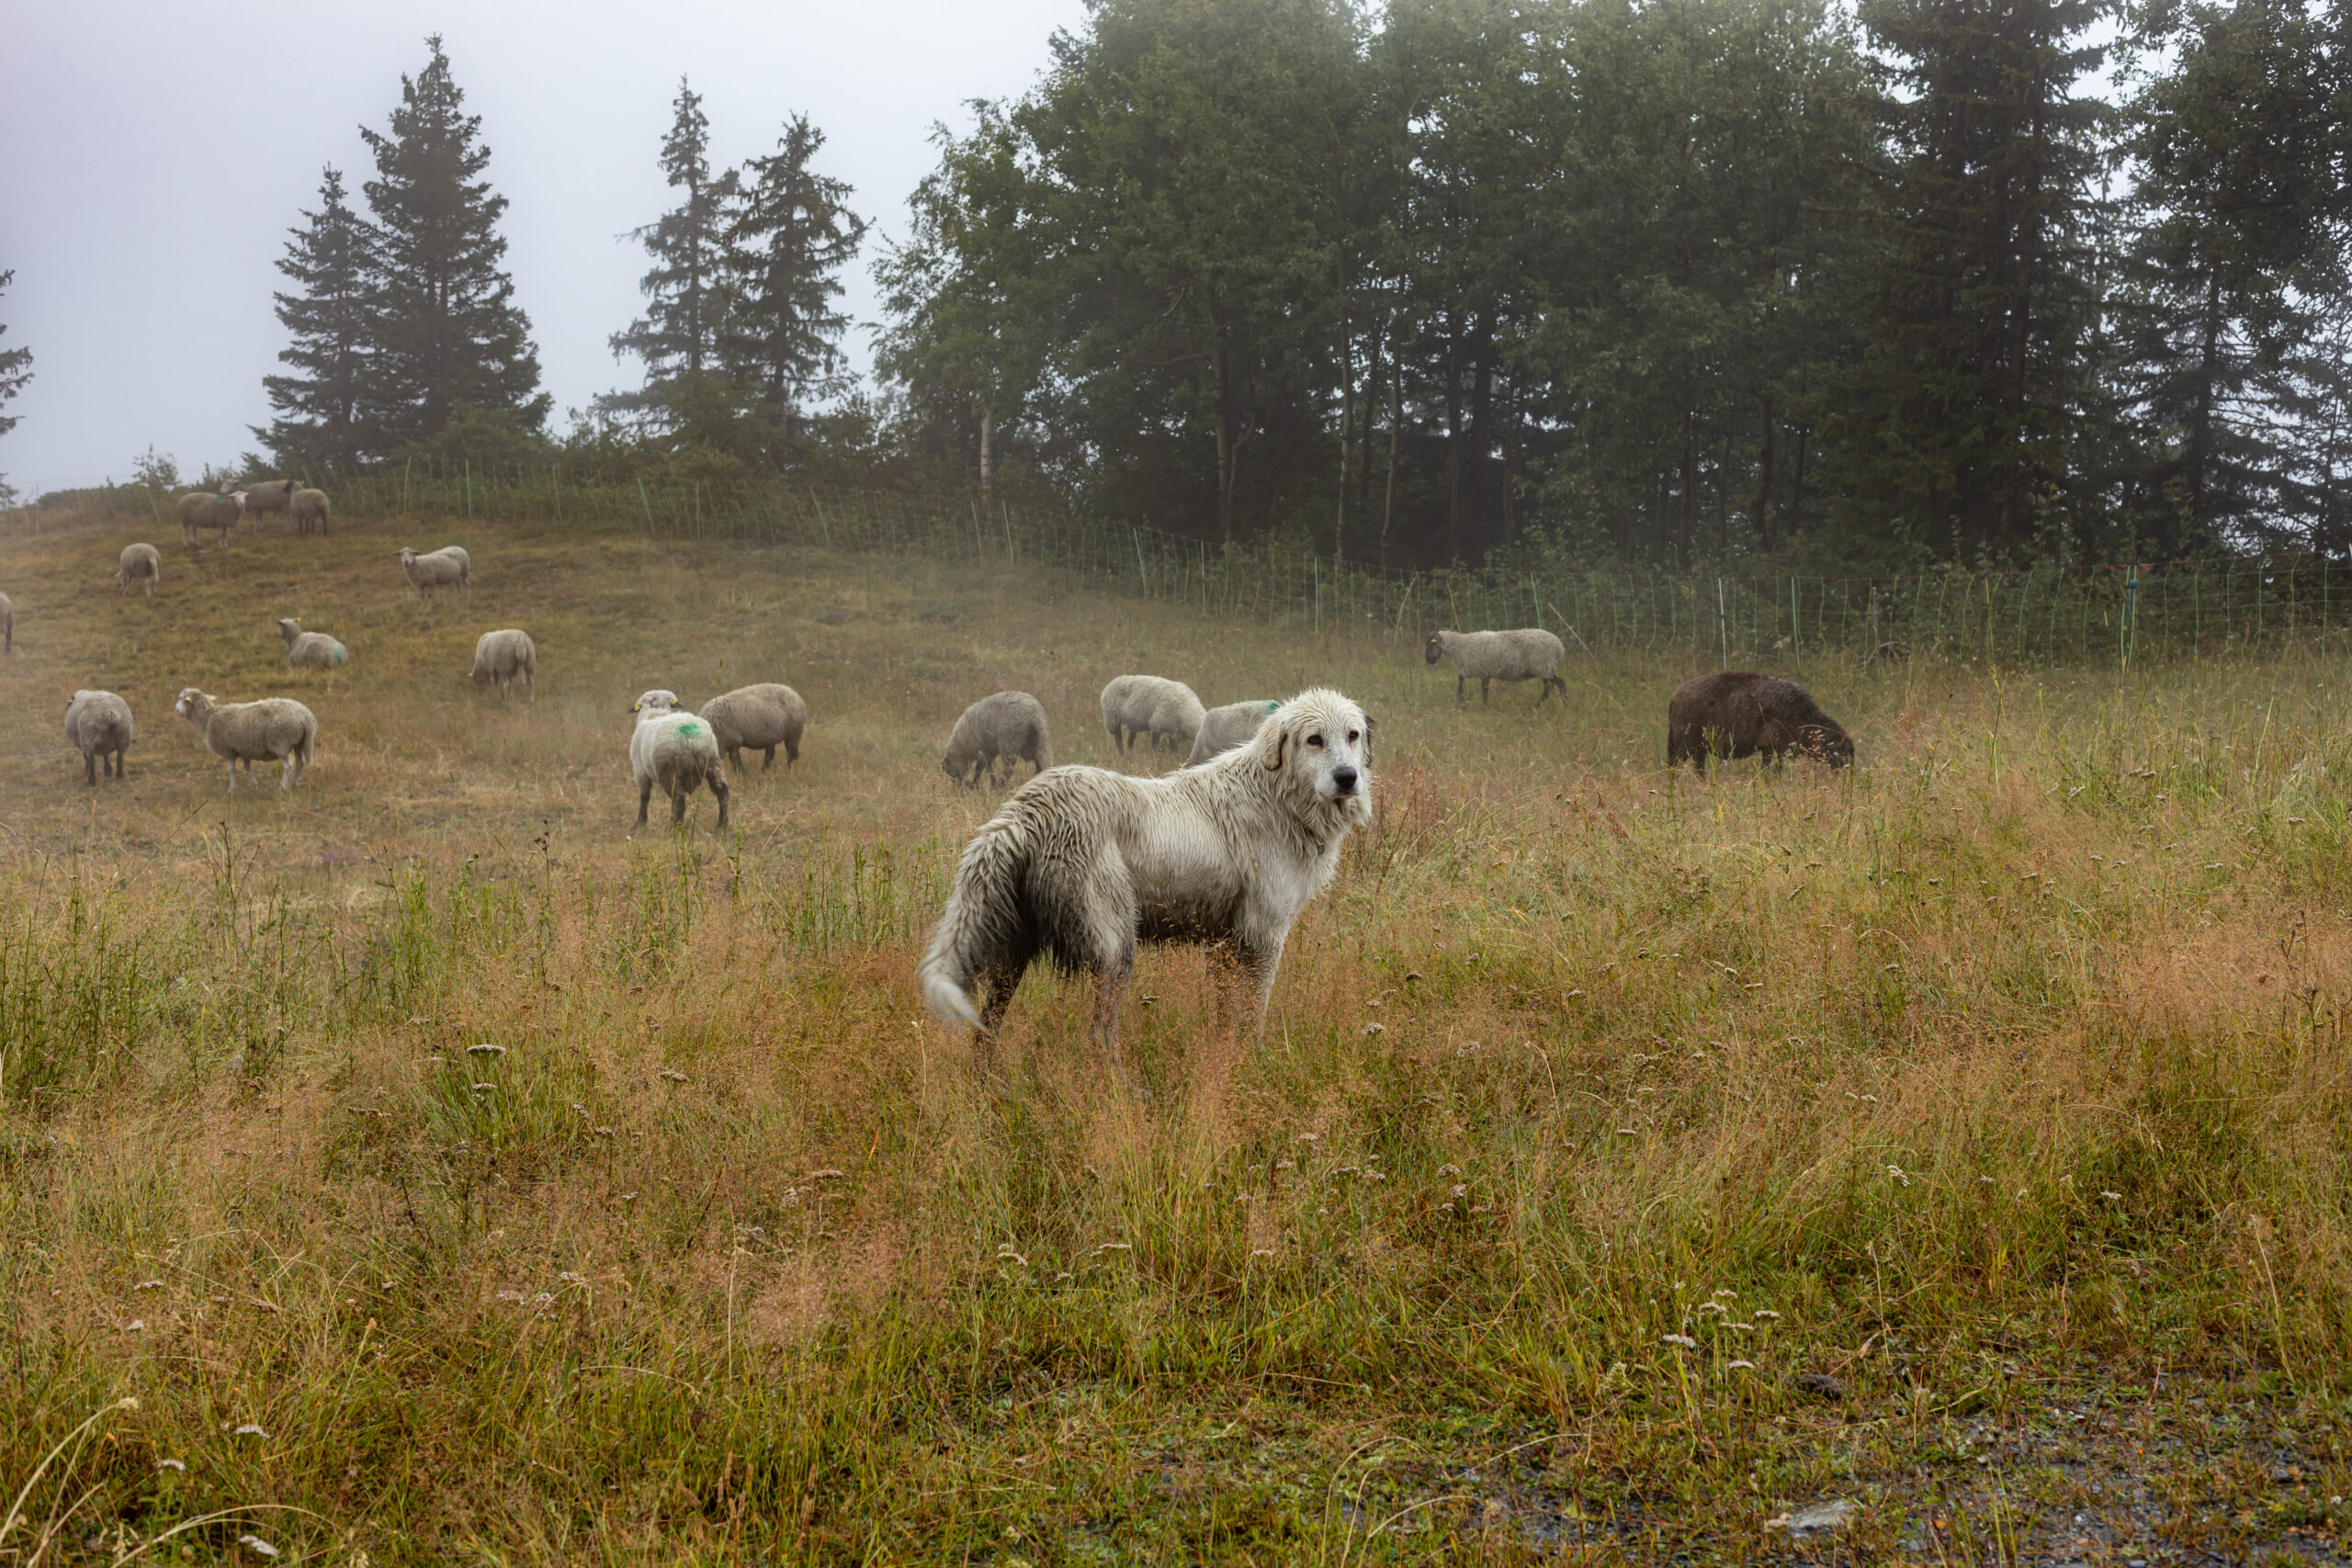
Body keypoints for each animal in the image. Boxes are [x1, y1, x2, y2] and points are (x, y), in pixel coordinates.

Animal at [174, 686, 320, 789]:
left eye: (181, 699)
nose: (176, 710)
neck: (207, 719)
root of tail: (305, 716)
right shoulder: (244, 750)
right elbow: (247, 767)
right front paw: (255, 784)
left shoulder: (228, 750)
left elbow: (231, 769)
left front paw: (232, 788)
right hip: (299, 742)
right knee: (300, 763)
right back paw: (294, 782)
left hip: (280, 742)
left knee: (288, 765)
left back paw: (283, 786)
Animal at [630, 691, 729, 827]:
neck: (654, 714)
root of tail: (692, 738)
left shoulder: (640, 771)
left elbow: (644, 797)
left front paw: (640, 822)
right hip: (713, 763)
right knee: (722, 791)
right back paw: (722, 824)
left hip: (669, 772)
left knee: (678, 801)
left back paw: (675, 826)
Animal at [908, 686, 1374, 1090]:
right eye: (1314, 740)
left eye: (1352, 736)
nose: (1347, 777)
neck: (1277, 797)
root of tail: (1026, 812)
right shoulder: (1263, 937)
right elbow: (1252, 1013)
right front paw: (1254, 1062)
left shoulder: (1225, 942)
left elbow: (1226, 1014)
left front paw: (1225, 1056)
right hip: (1116, 950)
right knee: (1099, 1034)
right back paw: (1128, 1092)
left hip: (1013, 953)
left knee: (986, 1029)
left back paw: (990, 1088)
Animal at [1420, 629, 1571, 709]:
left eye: (1431, 644)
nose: (1427, 660)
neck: (1459, 647)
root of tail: (1559, 648)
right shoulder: (1484, 673)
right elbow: (1483, 690)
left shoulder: (1477, 669)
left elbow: (1468, 683)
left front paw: (1464, 699)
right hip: (1544, 669)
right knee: (1550, 688)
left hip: (1543, 667)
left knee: (1558, 685)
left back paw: (1555, 706)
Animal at [1665, 671, 1844, 775]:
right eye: (1840, 751)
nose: (1843, 772)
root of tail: (1674, 696)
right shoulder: (1771, 745)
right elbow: (1773, 767)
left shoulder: (1773, 748)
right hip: (1684, 747)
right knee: (1675, 767)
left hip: (1698, 749)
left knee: (1699, 770)